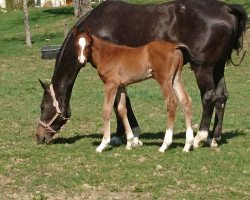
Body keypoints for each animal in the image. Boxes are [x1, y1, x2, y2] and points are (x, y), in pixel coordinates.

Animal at [36, 0, 247, 147]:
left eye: (42, 106)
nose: (39, 137)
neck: (97, 28)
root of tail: (226, 8)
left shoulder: (115, 77)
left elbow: (119, 104)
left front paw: (125, 135)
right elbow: (121, 103)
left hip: (203, 68)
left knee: (209, 97)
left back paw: (199, 137)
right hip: (218, 68)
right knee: (222, 96)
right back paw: (214, 138)